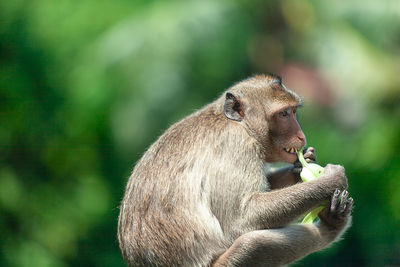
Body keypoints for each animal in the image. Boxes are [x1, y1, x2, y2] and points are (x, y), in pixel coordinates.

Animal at [116, 74, 354, 266]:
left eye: (294, 111)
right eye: (284, 114)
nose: (301, 136)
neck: (238, 123)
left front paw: (301, 166)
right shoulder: (236, 145)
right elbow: (241, 219)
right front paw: (330, 180)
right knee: (252, 243)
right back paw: (329, 229)